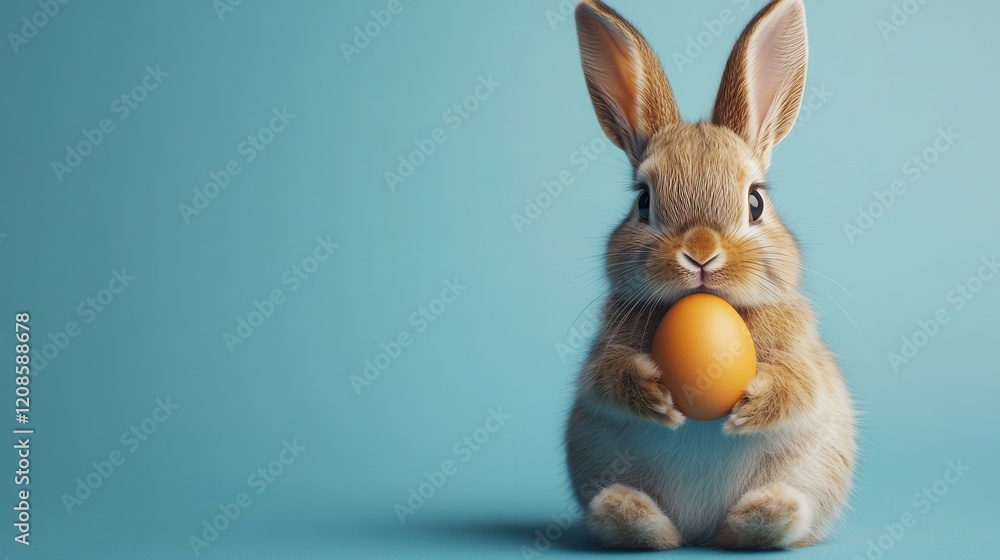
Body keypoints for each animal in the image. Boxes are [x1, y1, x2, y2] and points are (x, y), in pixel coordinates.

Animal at [564, 0, 857, 550]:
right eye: (643, 201)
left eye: (755, 202)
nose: (701, 254)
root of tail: (700, 528)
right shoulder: (600, 358)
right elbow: (607, 378)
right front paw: (655, 394)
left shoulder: (805, 362)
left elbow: (799, 385)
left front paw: (751, 403)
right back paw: (629, 513)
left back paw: (763, 513)